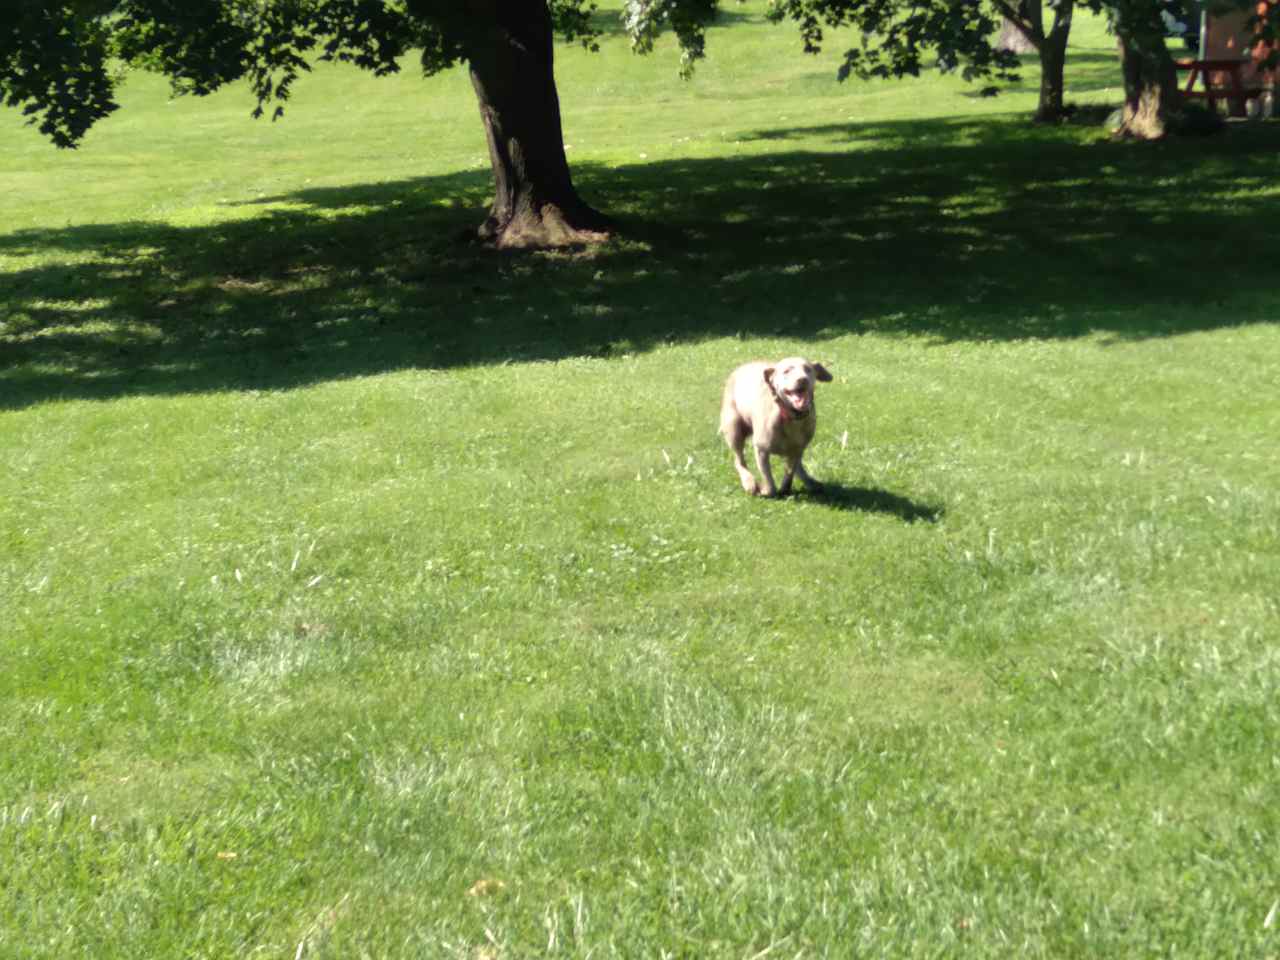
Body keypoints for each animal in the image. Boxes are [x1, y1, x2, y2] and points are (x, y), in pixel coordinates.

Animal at [716, 358, 834, 499]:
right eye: (786, 371)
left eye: (808, 369)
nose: (803, 379)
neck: (790, 417)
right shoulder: (761, 449)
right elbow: (767, 477)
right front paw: (768, 491)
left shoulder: (797, 449)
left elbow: (790, 471)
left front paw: (785, 489)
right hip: (733, 428)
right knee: (739, 460)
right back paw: (749, 482)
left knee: (798, 466)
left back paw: (811, 482)